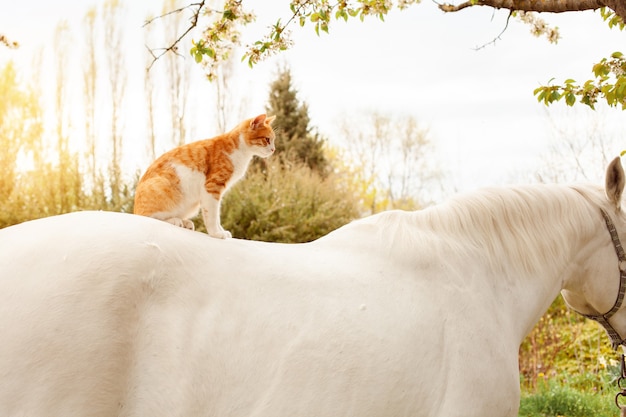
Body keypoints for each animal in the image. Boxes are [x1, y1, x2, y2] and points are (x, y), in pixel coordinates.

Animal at [133, 114, 274, 237]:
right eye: (267, 140)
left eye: (273, 140)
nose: (273, 149)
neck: (240, 151)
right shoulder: (212, 188)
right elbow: (212, 215)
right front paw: (216, 233)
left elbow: (217, 216)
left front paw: (221, 231)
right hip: (162, 187)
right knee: (149, 217)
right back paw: (175, 220)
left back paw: (185, 222)